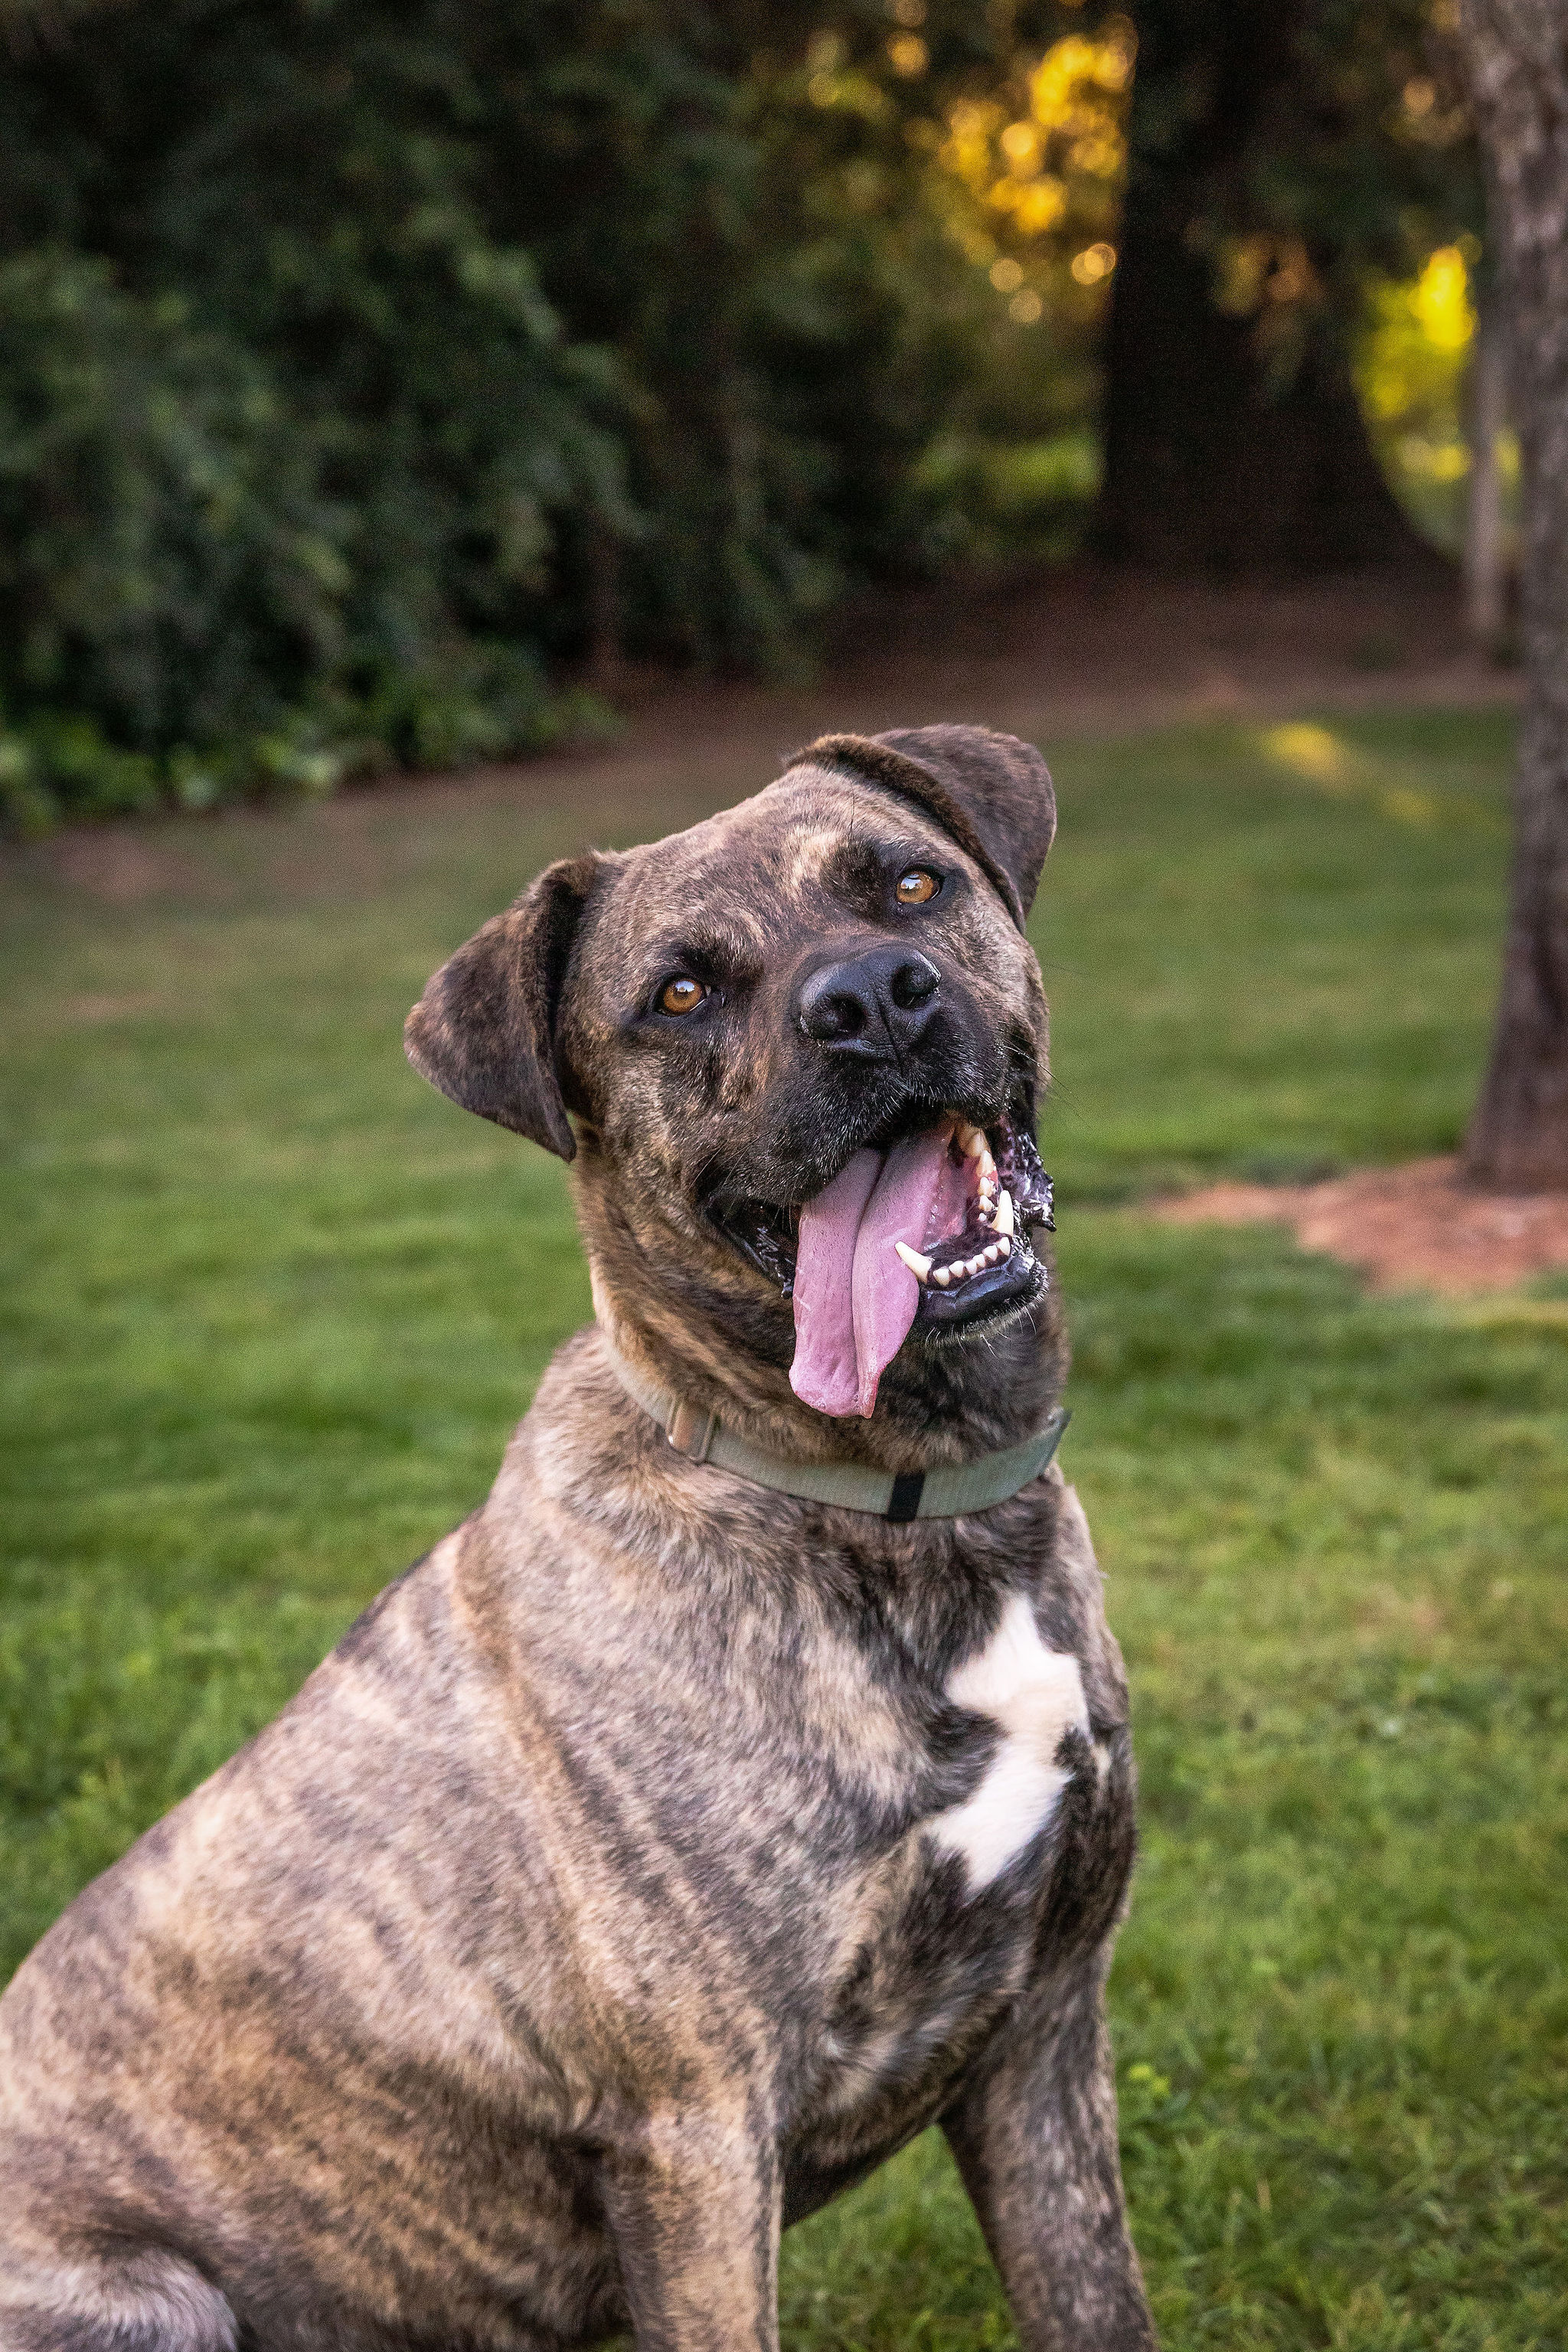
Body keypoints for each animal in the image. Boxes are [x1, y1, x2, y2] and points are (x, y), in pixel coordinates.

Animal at [0, 724, 1152, 2342]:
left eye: (909, 883)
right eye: (676, 992)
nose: (869, 1001)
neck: (891, 1503)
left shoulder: (1044, 2026)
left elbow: (1097, 2298)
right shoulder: (698, 2132)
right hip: (144, 2299)